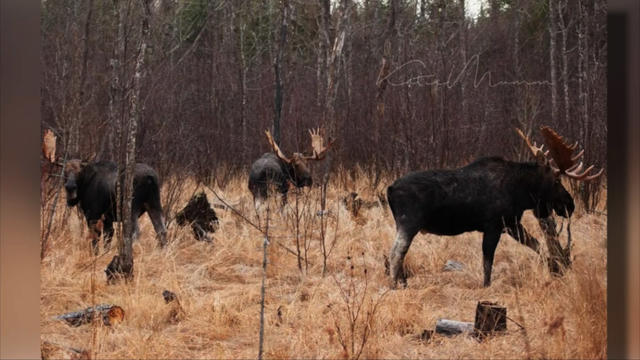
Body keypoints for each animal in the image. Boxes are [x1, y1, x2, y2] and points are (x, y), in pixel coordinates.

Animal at [388, 126, 604, 286]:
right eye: (557, 181)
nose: (570, 204)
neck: (521, 192)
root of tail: (389, 190)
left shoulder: (511, 223)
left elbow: (536, 244)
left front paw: (554, 266)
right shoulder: (494, 225)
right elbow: (488, 260)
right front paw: (487, 286)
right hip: (409, 223)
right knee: (395, 254)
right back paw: (395, 286)